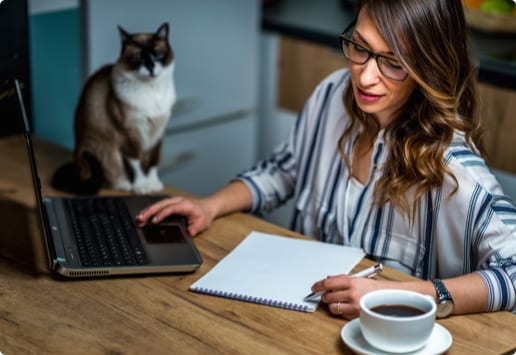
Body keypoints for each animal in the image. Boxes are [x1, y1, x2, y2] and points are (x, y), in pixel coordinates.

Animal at [52, 23, 176, 195]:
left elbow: (152, 161)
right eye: (139, 58)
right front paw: (142, 186)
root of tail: (77, 162)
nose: (151, 67)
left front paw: (153, 184)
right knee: (112, 175)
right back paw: (126, 184)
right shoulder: (129, 134)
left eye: (157, 55)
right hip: (106, 151)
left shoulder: (158, 133)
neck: (152, 90)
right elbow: (137, 163)